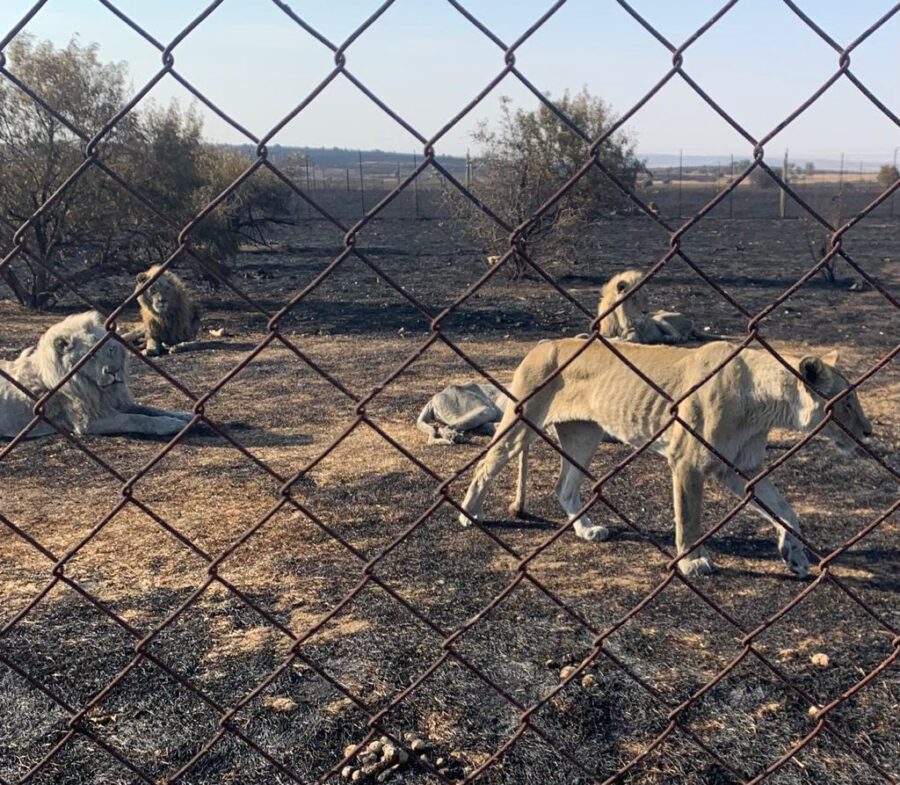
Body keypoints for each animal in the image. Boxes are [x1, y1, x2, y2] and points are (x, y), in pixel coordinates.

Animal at [0, 310, 194, 438]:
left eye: (111, 349)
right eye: (91, 356)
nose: (113, 372)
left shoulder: (116, 402)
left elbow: (149, 409)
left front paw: (185, 415)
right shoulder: (88, 422)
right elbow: (135, 419)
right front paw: (171, 425)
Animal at [458, 336, 872, 576]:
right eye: (847, 403)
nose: (869, 432)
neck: (767, 405)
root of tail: (541, 343)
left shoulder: (741, 467)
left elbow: (786, 510)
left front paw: (795, 556)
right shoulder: (688, 461)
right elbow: (688, 518)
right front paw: (692, 561)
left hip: (584, 433)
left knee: (565, 487)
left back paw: (587, 530)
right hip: (521, 422)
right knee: (487, 464)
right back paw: (469, 514)